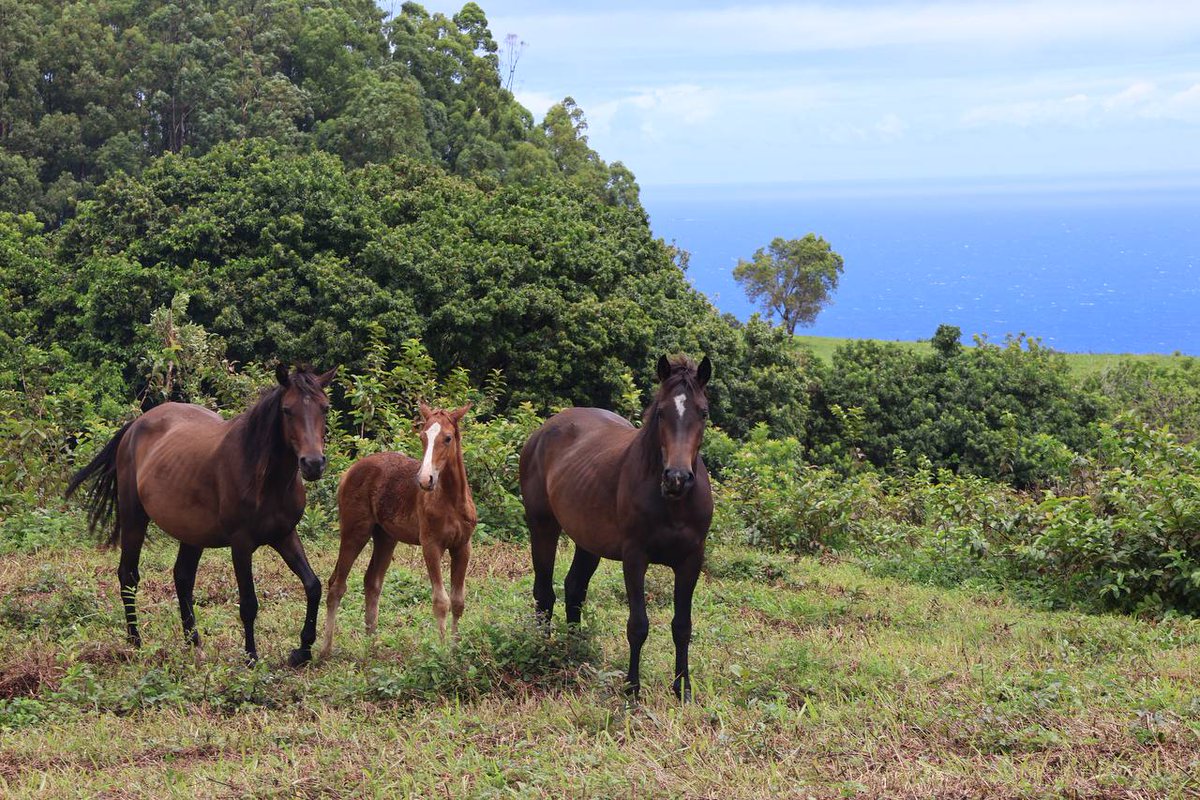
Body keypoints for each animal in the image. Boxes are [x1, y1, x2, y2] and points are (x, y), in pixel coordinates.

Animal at [65, 364, 337, 667]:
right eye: (287, 410)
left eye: (325, 408)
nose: (313, 464)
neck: (264, 477)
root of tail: (135, 425)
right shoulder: (241, 544)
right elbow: (249, 604)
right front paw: (251, 657)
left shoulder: (285, 535)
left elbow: (313, 586)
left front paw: (302, 650)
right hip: (134, 517)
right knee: (129, 576)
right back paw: (135, 642)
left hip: (192, 532)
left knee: (182, 577)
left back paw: (193, 643)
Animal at [320, 402, 476, 657]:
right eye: (422, 436)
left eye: (448, 438)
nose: (425, 480)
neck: (451, 500)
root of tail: (349, 472)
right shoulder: (431, 545)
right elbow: (440, 601)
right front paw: (443, 654)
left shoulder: (463, 547)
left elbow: (458, 602)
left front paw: (455, 649)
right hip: (355, 532)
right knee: (337, 584)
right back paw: (325, 650)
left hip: (385, 537)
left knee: (372, 582)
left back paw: (371, 647)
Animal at [519, 354, 713, 700]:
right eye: (661, 412)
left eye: (702, 412)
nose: (677, 478)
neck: (673, 504)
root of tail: (542, 431)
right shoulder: (635, 557)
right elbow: (638, 625)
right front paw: (632, 689)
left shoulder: (691, 559)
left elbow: (682, 626)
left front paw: (682, 689)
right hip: (542, 527)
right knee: (544, 592)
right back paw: (544, 650)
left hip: (587, 540)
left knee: (574, 589)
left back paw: (574, 650)